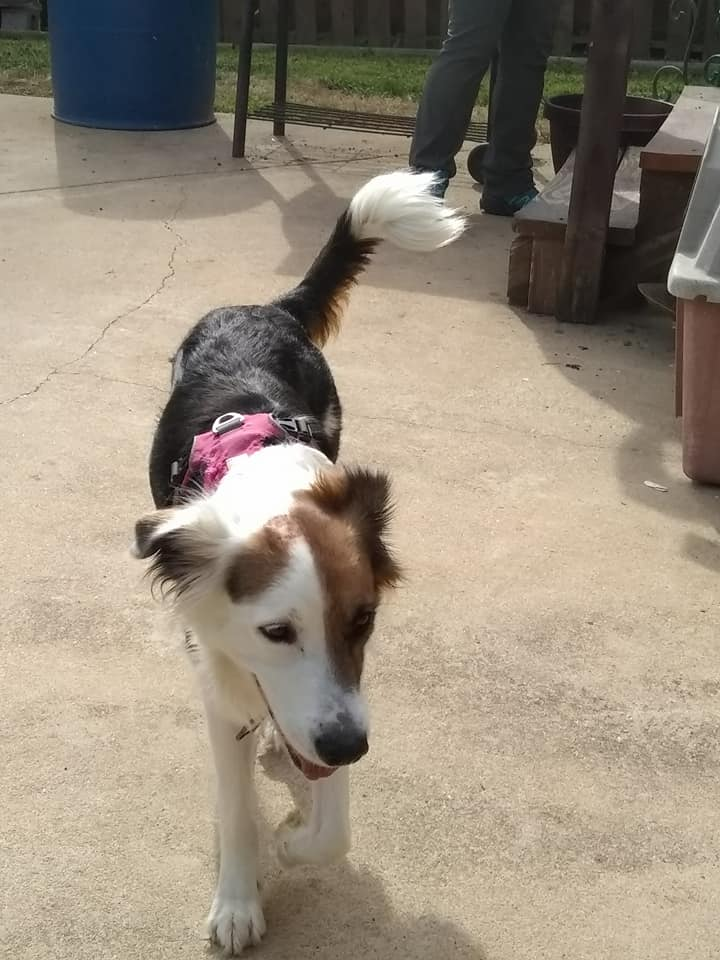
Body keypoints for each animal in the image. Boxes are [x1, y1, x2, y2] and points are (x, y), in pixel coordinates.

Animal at [132, 171, 464, 954]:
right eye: (276, 632)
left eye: (365, 619)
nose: (347, 747)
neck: (267, 478)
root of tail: (265, 308)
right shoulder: (224, 684)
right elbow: (235, 807)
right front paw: (238, 900)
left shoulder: (341, 698)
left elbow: (332, 829)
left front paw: (292, 842)